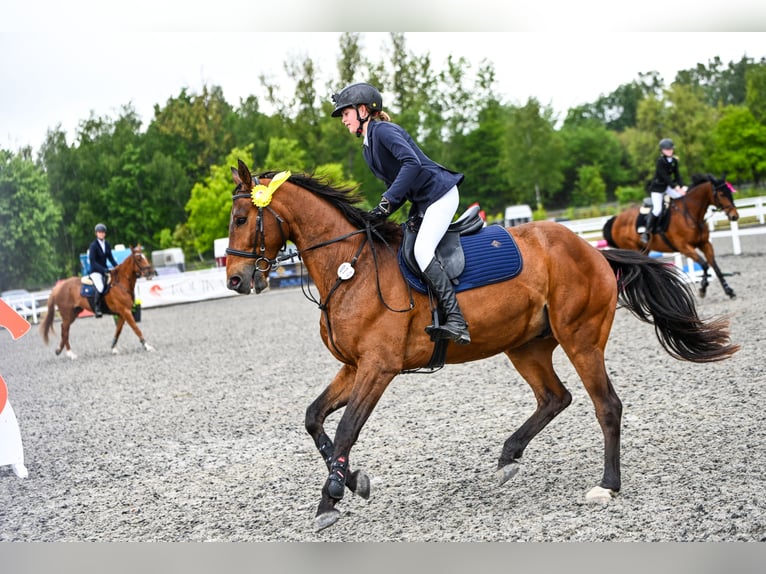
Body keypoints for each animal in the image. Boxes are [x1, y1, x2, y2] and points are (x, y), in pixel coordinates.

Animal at [602, 174, 739, 298]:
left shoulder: (705, 243)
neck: (691, 214)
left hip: (643, 251)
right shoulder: (684, 247)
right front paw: (702, 289)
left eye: (729, 192)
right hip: (632, 249)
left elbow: (714, 266)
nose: (734, 216)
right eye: (721, 194)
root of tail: (615, 219)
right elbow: (705, 265)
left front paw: (729, 291)